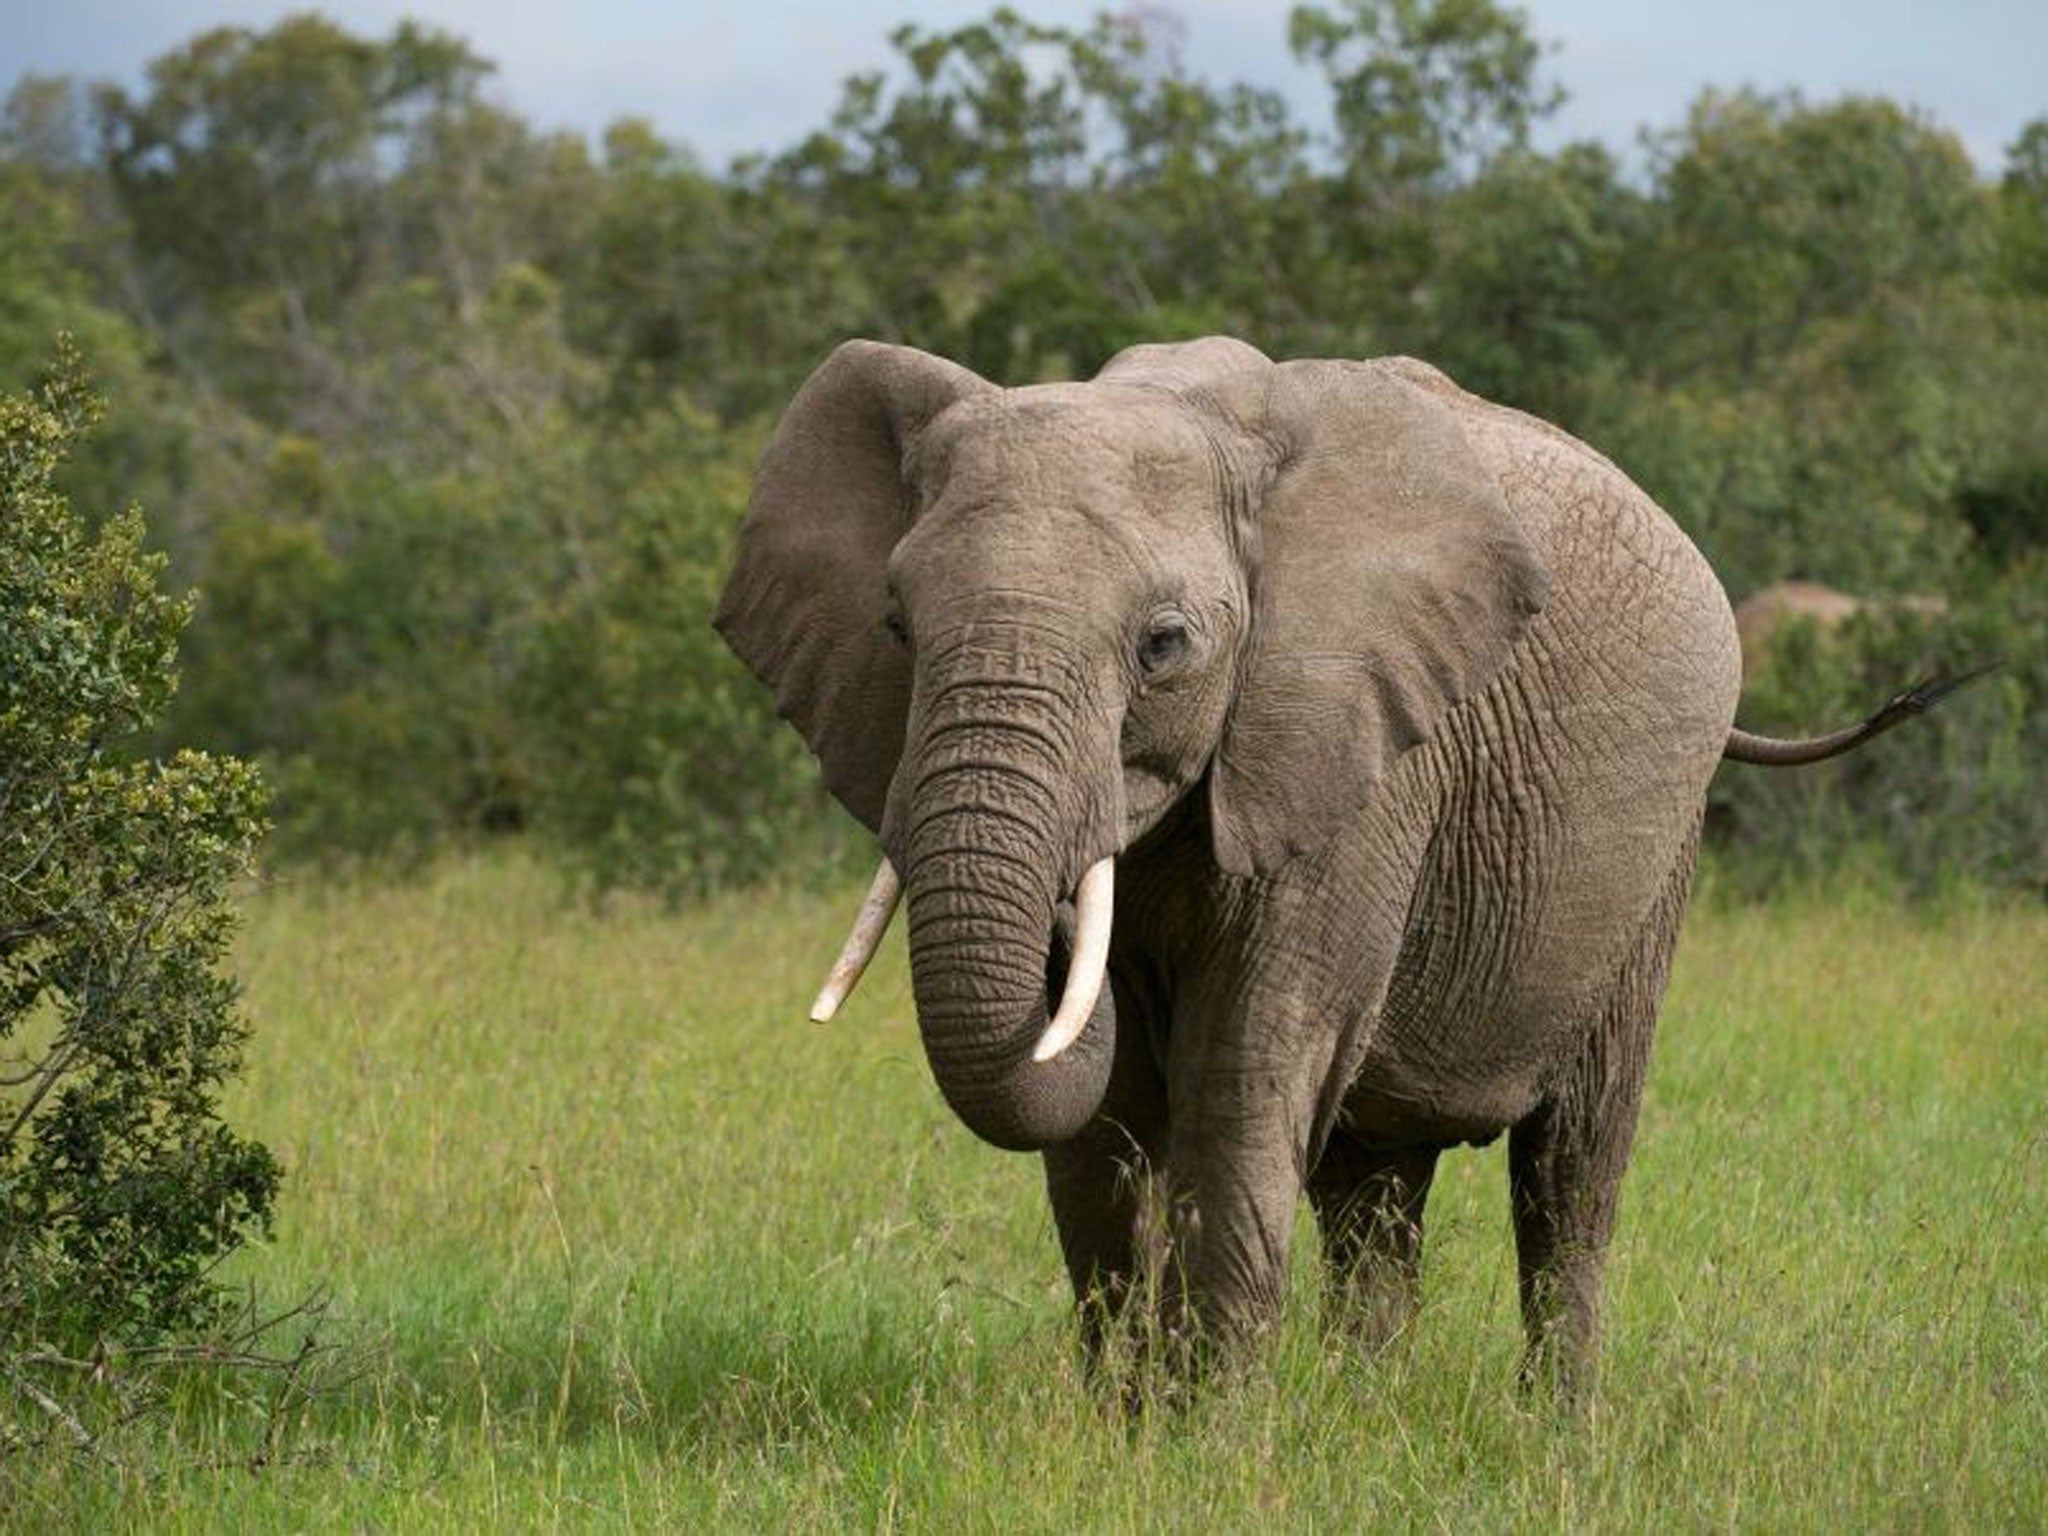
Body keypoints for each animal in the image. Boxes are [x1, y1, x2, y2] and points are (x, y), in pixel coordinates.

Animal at [716, 335, 1966, 1392]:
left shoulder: (1357, 754)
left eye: (1162, 645)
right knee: (1374, 1191)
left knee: (1568, 1171)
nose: (1065, 932)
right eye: (896, 628)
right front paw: (1124, 1434)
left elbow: (1245, 1073)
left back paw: (1554, 1434)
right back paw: (1368, 1410)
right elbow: (1103, 1131)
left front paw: (1207, 1447)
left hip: (1659, 848)